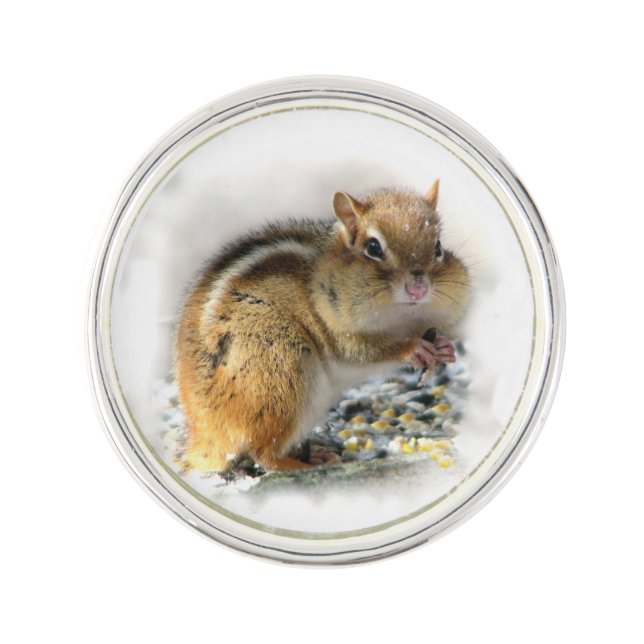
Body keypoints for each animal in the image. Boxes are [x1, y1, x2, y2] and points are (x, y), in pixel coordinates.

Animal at [174, 180, 470, 472]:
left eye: (438, 247)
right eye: (374, 247)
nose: (418, 288)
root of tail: (206, 434)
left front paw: (444, 348)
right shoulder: (336, 328)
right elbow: (362, 352)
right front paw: (413, 348)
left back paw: (314, 455)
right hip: (280, 366)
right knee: (262, 453)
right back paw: (297, 465)